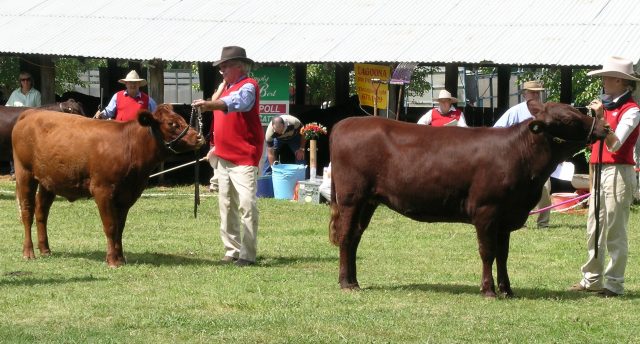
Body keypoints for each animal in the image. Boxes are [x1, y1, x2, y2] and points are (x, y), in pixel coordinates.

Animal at [13, 103, 205, 268]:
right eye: (172, 124)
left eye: (183, 119)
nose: (199, 137)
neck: (129, 146)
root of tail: (31, 113)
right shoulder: (102, 190)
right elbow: (111, 226)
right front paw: (112, 260)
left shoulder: (128, 194)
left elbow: (120, 227)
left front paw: (120, 258)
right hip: (24, 173)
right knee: (27, 212)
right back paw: (28, 252)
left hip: (48, 181)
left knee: (41, 212)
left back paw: (45, 249)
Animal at [328, 100, 608, 298]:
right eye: (568, 118)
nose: (604, 127)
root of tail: (345, 123)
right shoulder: (486, 210)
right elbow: (488, 252)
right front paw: (488, 290)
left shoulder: (506, 217)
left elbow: (503, 254)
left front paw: (507, 289)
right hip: (352, 197)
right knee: (346, 236)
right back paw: (345, 283)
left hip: (368, 201)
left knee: (355, 237)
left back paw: (354, 281)